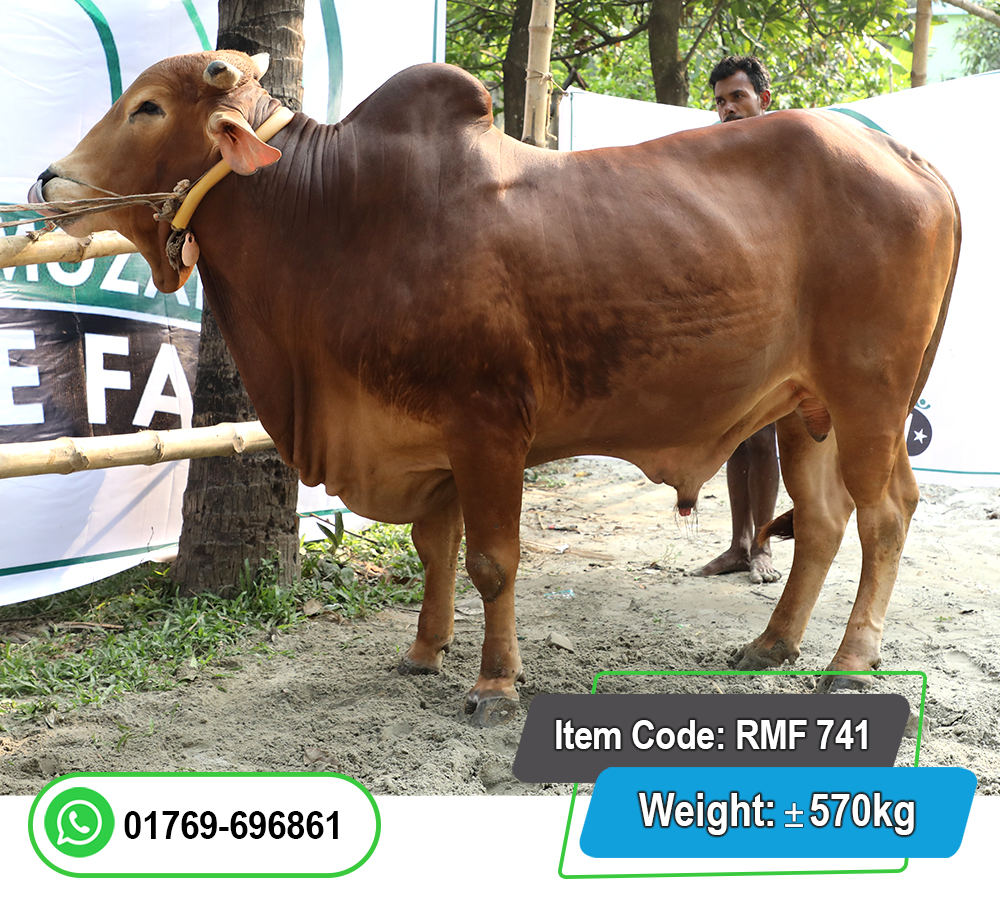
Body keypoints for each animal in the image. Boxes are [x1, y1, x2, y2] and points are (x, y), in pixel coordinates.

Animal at [30, 51, 960, 725]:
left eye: (149, 107)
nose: (47, 181)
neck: (331, 214)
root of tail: (910, 158)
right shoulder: (430, 438)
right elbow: (434, 550)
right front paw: (423, 652)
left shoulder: (487, 430)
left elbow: (492, 562)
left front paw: (493, 686)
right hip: (807, 411)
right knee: (825, 521)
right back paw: (773, 644)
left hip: (870, 397)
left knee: (885, 516)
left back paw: (849, 664)